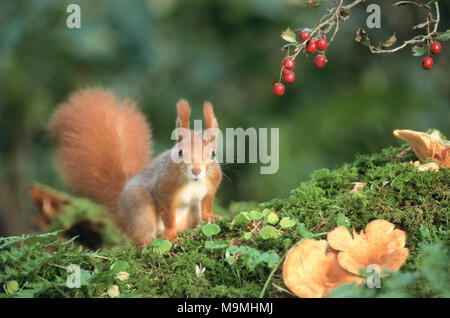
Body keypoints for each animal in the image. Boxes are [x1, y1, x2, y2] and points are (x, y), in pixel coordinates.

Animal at [48, 88, 221, 245]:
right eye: (180, 153)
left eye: (213, 154)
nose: (196, 170)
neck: (193, 182)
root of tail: (119, 209)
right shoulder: (165, 190)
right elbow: (168, 217)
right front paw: (172, 237)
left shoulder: (211, 186)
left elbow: (207, 205)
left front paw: (212, 217)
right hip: (140, 208)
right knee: (142, 236)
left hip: (190, 213)